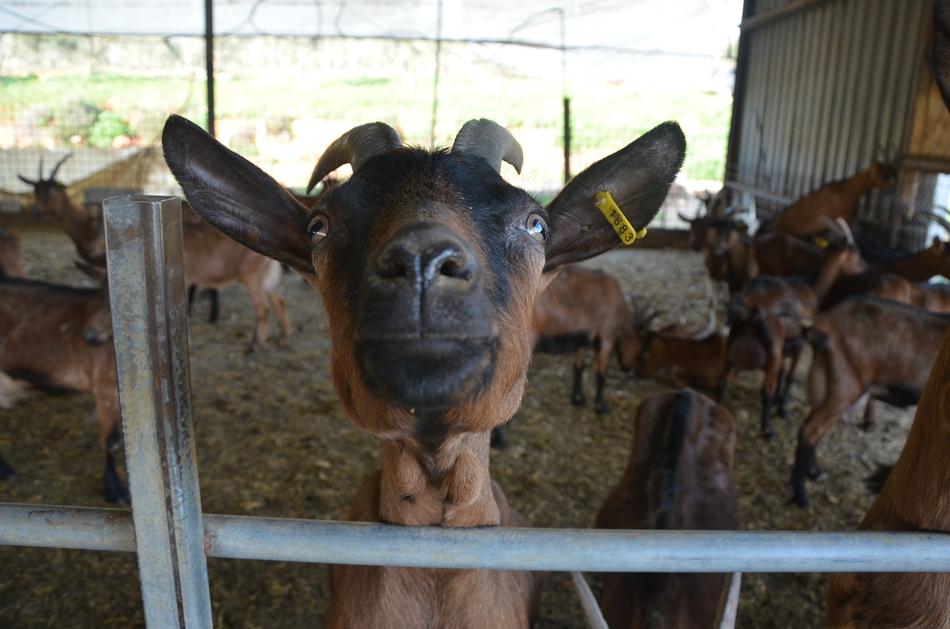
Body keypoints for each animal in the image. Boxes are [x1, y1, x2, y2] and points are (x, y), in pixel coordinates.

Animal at [0, 276, 126, 504]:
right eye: (104, 288)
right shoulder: (104, 387)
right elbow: (111, 442)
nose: (90, 335)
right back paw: (5, 470)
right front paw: (115, 491)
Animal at [531, 266, 638, 414]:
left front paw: (577, 400)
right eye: (640, 348)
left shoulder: (582, 340)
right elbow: (601, 372)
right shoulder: (607, 336)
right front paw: (601, 406)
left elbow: (578, 367)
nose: (628, 368)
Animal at [792, 296, 950, 507]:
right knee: (810, 431)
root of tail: (825, 320)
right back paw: (801, 496)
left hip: (832, 382)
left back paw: (815, 473)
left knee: (813, 426)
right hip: (846, 383)